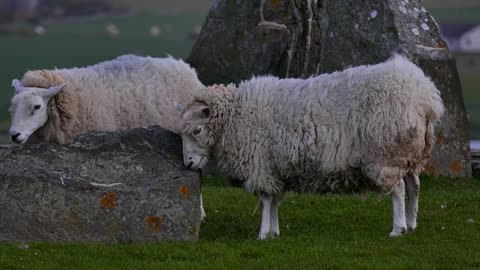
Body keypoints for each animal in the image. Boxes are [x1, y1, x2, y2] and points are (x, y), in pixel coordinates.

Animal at [174, 54, 444, 238]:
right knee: (414, 185)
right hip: (409, 155)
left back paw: (398, 228)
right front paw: (274, 231)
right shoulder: (275, 168)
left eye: (197, 130)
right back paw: (411, 223)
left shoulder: (261, 166)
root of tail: (424, 95)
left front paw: (263, 233)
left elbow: (265, 200)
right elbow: (274, 200)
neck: (236, 116)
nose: (188, 163)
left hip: (385, 155)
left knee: (398, 189)